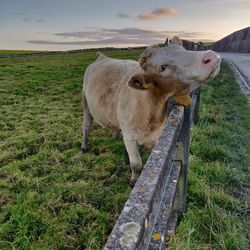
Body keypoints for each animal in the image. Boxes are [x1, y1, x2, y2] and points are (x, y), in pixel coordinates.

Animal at [80, 36, 221, 186]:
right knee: (86, 127)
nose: (211, 57)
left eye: (183, 49)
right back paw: (84, 146)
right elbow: (136, 164)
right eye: (162, 67)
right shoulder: (129, 138)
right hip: (85, 103)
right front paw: (134, 181)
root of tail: (101, 57)